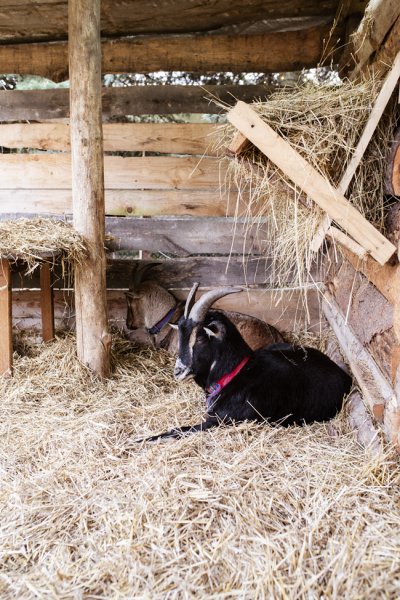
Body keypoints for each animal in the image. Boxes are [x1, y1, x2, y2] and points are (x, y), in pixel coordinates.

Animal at [141, 284, 354, 442]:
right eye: (180, 335)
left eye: (200, 338)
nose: (178, 371)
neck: (235, 374)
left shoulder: (219, 421)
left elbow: (175, 431)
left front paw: (140, 441)